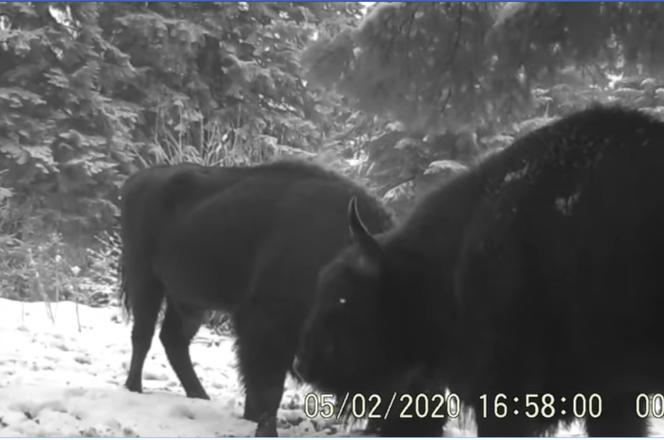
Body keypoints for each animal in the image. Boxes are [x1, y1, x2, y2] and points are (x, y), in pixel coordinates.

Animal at [120, 160, 392, 434]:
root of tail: (136, 180)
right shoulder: (265, 325)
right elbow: (268, 387)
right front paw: (263, 426)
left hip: (188, 301)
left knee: (173, 339)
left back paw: (200, 396)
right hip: (145, 280)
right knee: (143, 335)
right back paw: (134, 388)